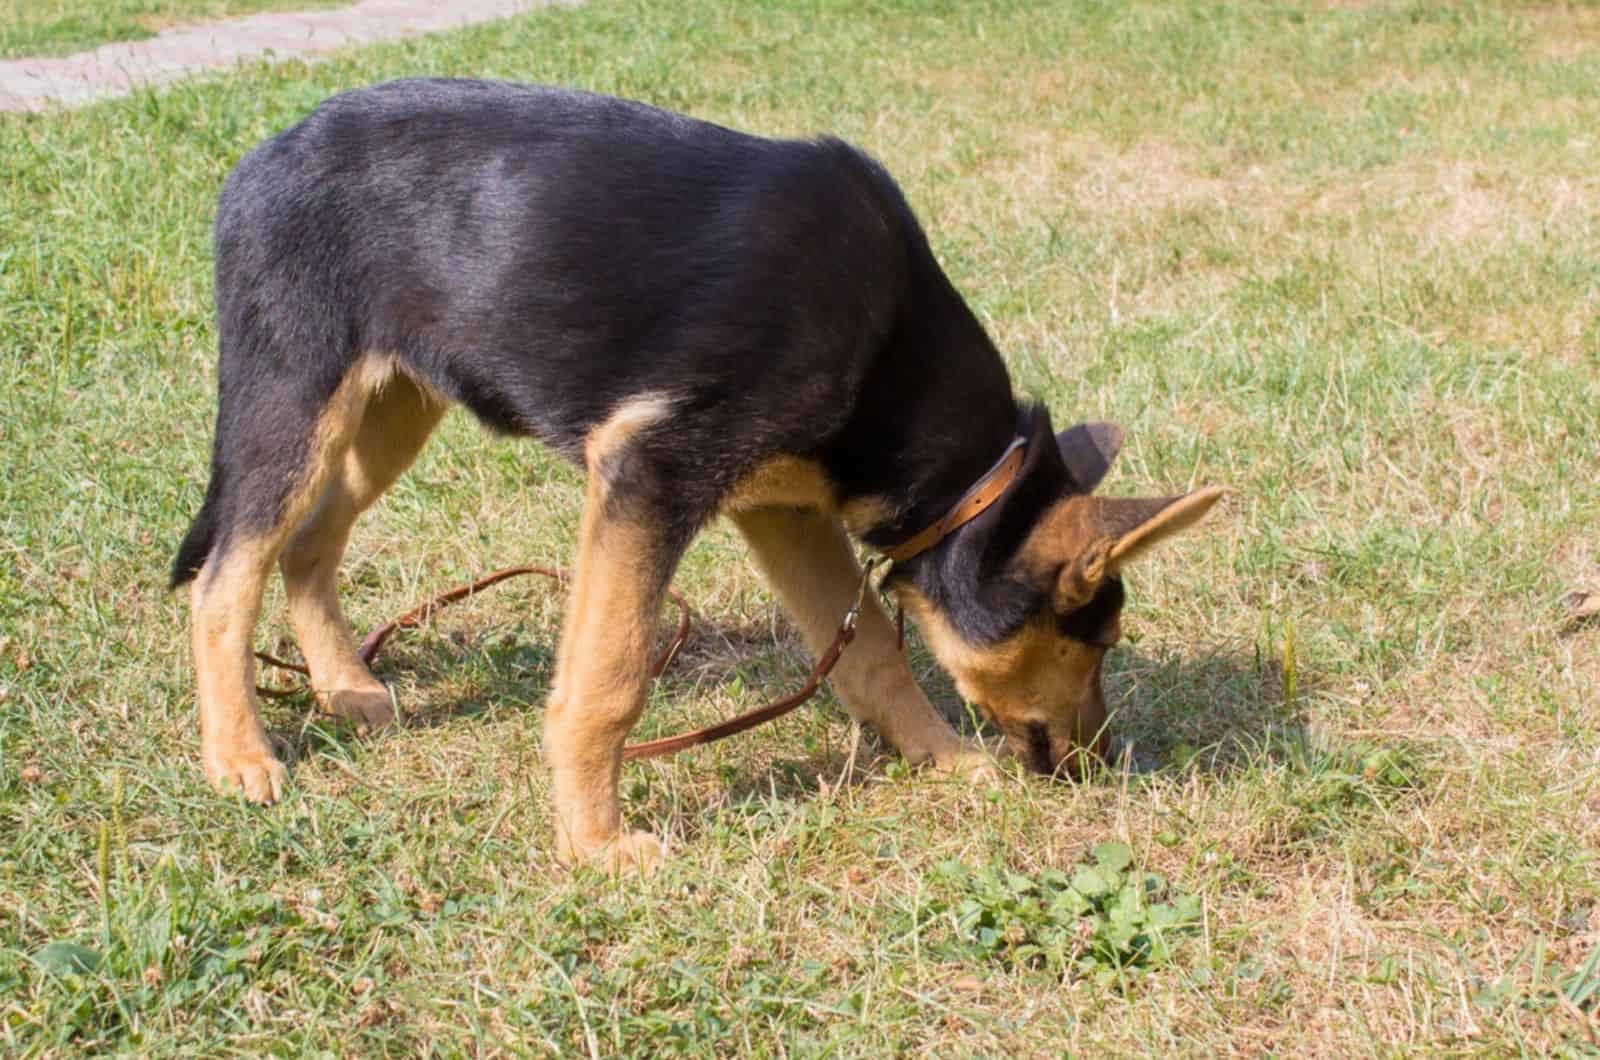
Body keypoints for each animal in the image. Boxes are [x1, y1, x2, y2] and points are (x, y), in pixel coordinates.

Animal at [172, 78, 1222, 871]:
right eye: (1098, 641)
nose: (1104, 767)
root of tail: (257, 162)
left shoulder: (783, 509)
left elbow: (874, 654)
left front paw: (940, 757)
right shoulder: (649, 476)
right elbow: (609, 677)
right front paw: (596, 845)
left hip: (393, 407)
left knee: (308, 545)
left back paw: (345, 687)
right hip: (294, 400)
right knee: (227, 577)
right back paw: (240, 757)